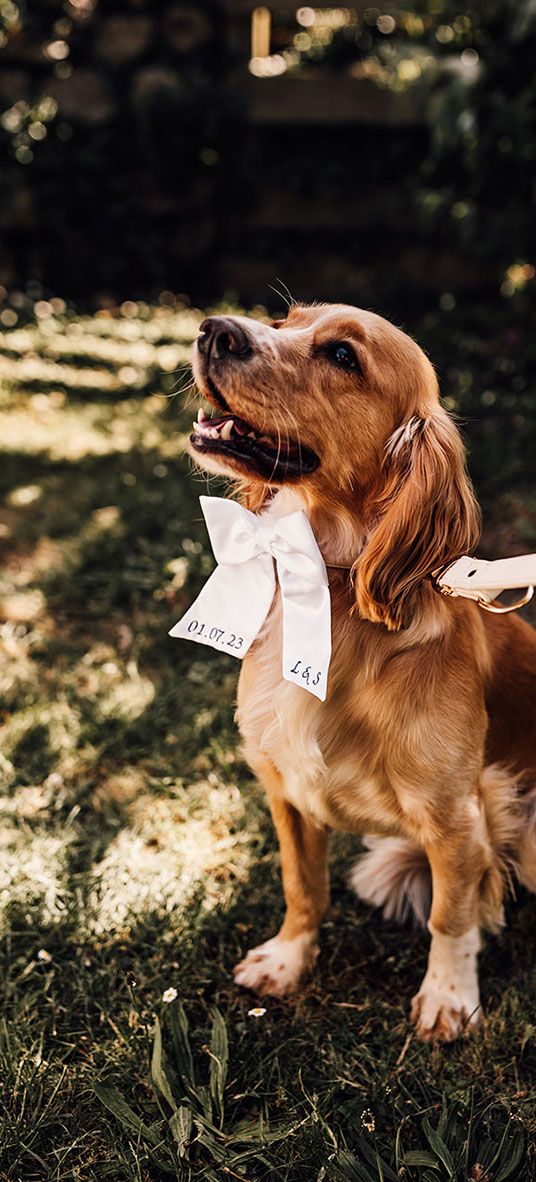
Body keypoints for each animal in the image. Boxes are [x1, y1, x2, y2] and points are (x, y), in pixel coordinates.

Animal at [185, 302, 532, 1044]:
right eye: (286, 318)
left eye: (343, 356)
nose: (213, 329)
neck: (334, 591)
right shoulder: (283, 786)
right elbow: (302, 887)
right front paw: (289, 959)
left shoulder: (458, 815)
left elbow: (452, 916)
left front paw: (448, 997)